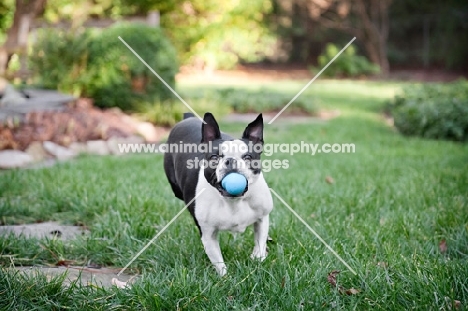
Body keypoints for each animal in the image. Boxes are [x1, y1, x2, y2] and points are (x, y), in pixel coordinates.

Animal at [165, 113, 274, 276]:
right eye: (214, 157)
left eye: (248, 157)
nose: (231, 160)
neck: (234, 201)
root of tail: (187, 117)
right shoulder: (208, 235)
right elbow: (218, 261)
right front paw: (226, 278)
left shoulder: (262, 218)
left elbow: (260, 243)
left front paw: (257, 259)